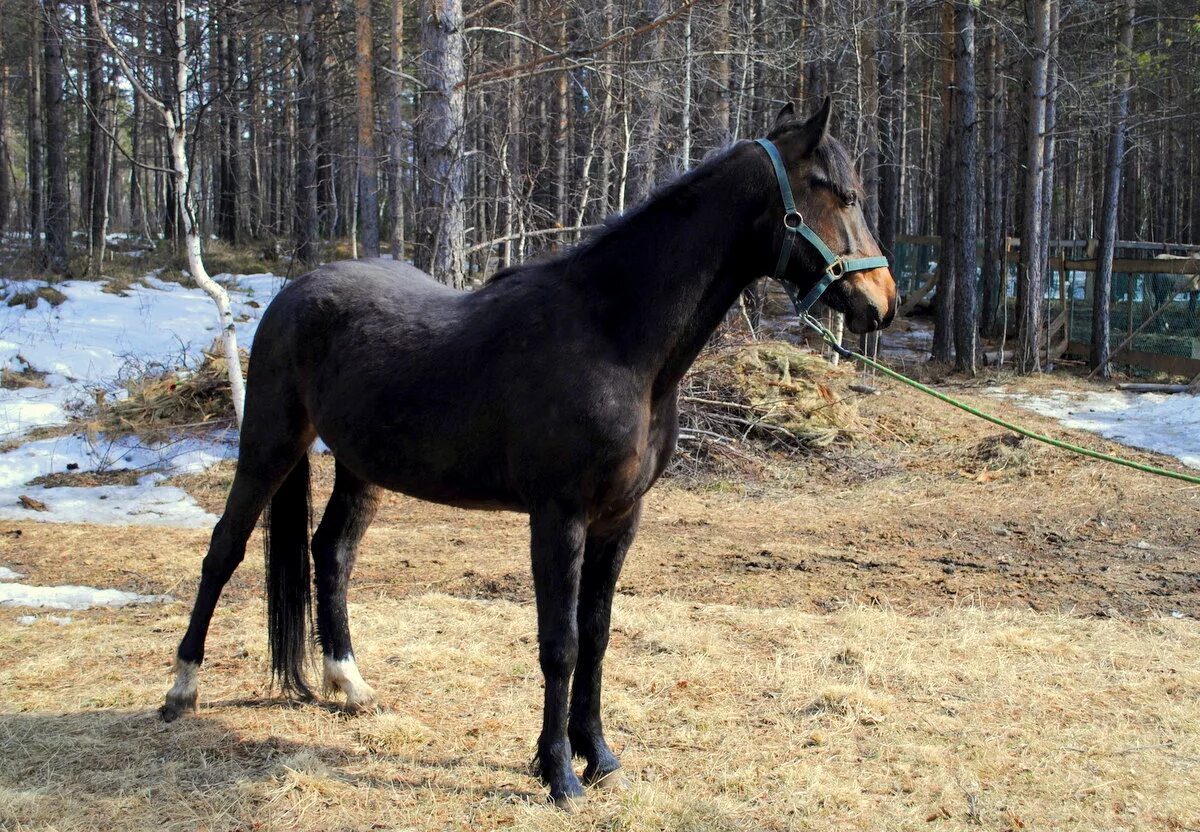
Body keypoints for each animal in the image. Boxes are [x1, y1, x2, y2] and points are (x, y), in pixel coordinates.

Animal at [159, 97, 897, 806]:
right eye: (840, 193)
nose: (883, 303)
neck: (614, 339)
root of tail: (294, 292)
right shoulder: (558, 516)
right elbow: (560, 644)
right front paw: (559, 773)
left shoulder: (619, 519)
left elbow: (597, 636)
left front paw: (600, 758)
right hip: (270, 443)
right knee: (225, 549)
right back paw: (181, 689)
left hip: (360, 467)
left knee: (331, 553)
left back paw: (351, 685)